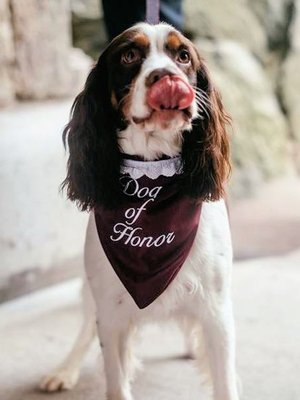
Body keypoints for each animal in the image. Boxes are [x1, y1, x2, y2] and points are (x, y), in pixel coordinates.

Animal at [39, 22, 239, 400]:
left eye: (183, 56)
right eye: (129, 55)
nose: (166, 77)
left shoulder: (217, 312)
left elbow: (225, 383)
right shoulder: (111, 314)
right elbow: (115, 381)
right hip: (91, 294)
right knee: (84, 329)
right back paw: (63, 371)